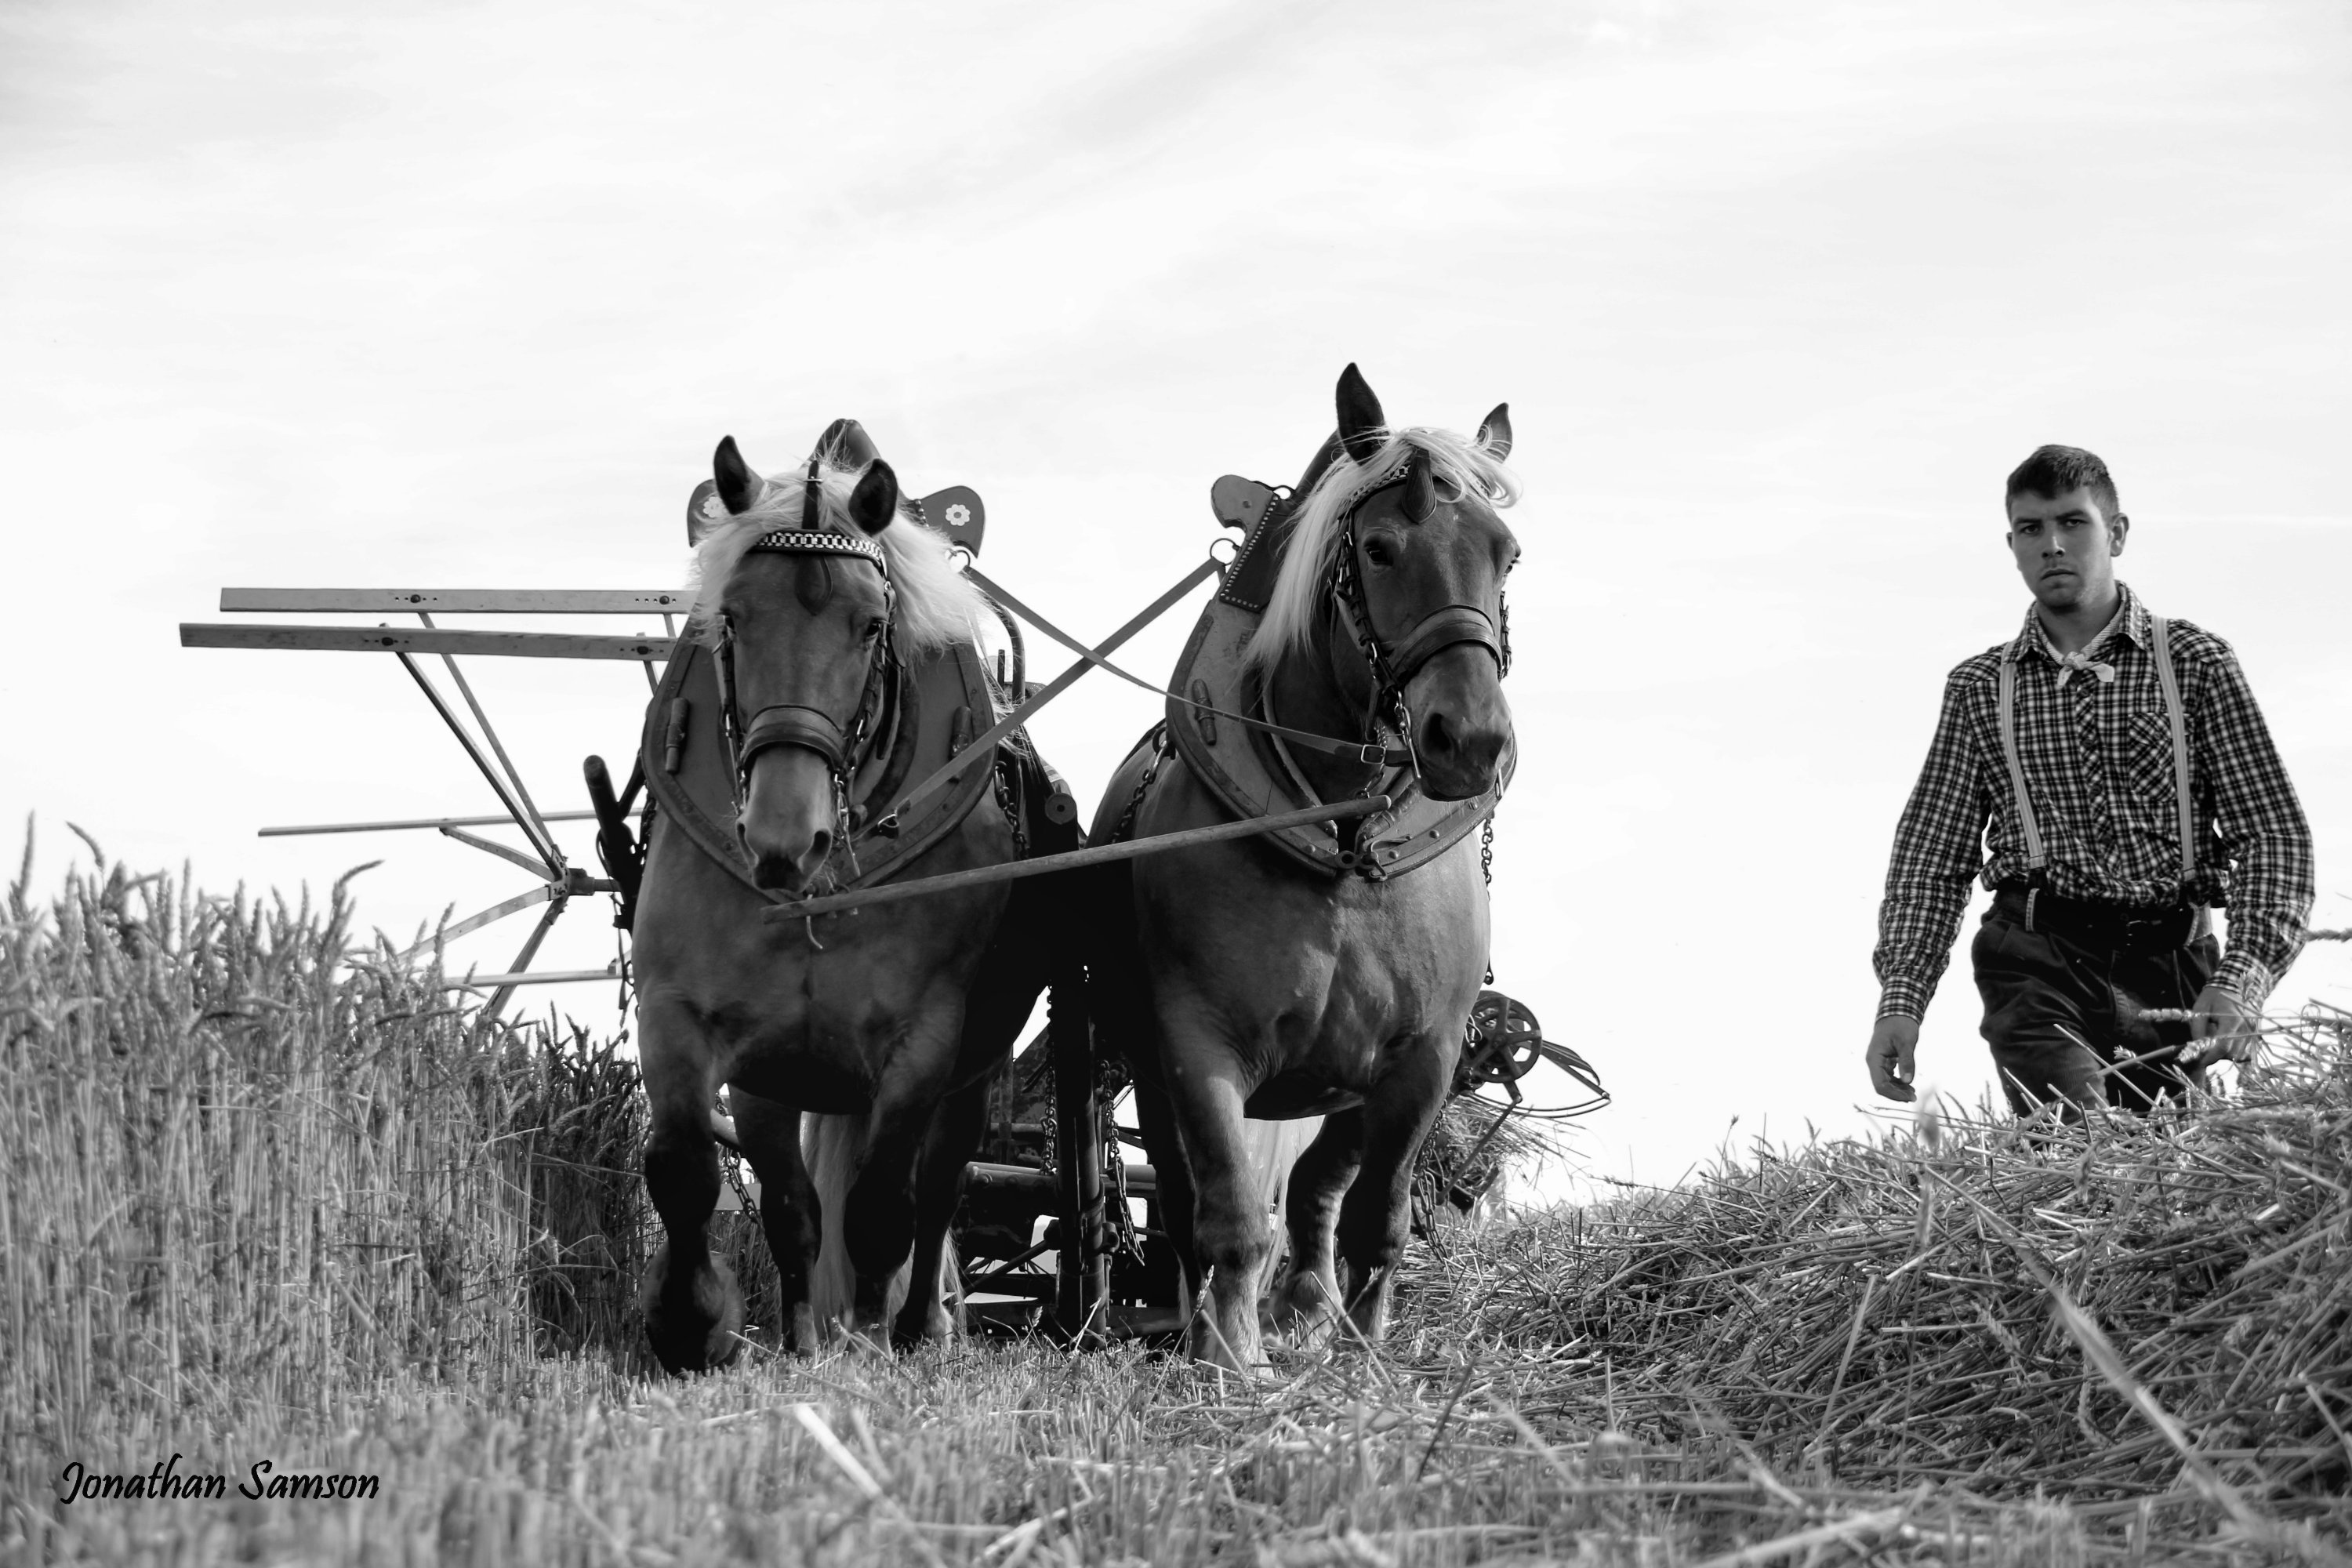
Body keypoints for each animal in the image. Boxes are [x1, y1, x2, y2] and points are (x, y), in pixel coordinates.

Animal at [631, 422, 1054, 1372]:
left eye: (870, 625)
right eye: (733, 617)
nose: (784, 843)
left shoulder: (923, 1042)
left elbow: (883, 1206)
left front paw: (868, 1336)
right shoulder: (689, 1020)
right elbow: (698, 1173)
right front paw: (697, 1323)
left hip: (972, 1070)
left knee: (939, 1187)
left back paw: (920, 1323)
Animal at [1091, 364, 1520, 1371]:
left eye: (1506, 554)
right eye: (1380, 548)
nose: (1471, 739)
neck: (1341, 838)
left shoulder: (1423, 1056)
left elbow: (1372, 1211)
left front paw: (1361, 1346)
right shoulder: (1195, 1041)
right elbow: (1228, 1209)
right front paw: (1230, 1353)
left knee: (1322, 1187)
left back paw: (1311, 1304)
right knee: (1188, 1196)